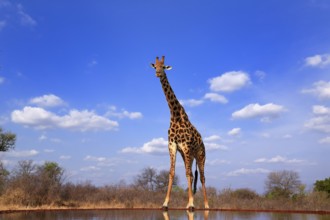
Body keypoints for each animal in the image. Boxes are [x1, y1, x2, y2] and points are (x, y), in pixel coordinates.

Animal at [151, 55, 209, 211]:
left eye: (164, 67)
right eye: (155, 66)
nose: (158, 73)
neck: (175, 115)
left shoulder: (186, 145)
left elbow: (188, 174)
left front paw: (192, 204)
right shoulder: (172, 145)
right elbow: (172, 173)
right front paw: (165, 203)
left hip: (200, 155)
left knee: (201, 177)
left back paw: (206, 205)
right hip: (187, 155)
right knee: (192, 175)